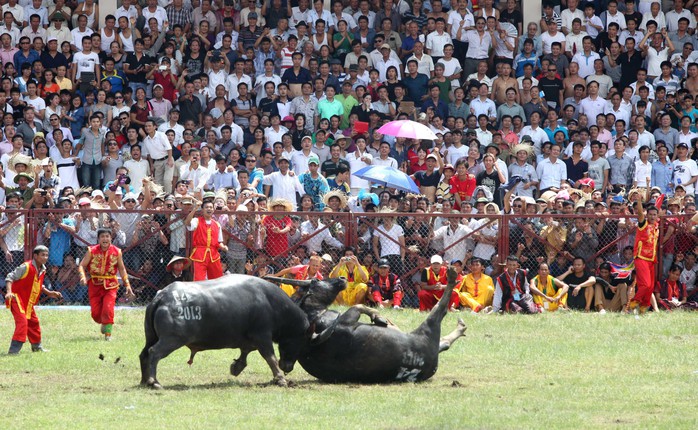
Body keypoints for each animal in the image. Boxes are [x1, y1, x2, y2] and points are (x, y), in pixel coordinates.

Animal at [139, 276, 308, 390]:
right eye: (302, 339)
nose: (288, 367)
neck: (270, 303)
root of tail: (162, 296)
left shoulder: (250, 339)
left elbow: (245, 353)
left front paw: (236, 367)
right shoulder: (263, 337)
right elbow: (270, 358)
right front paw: (280, 379)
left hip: (151, 337)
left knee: (144, 354)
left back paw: (144, 380)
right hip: (172, 339)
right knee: (154, 352)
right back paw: (154, 381)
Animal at [264, 268, 464, 384]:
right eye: (316, 280)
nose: (342, 277)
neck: (314, 314)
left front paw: (383, 319)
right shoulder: (347, 320)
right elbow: (359, 306)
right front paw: (380, 317)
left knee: (444, 342)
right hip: (428, 328)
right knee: (440, 310)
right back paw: (452, 277)